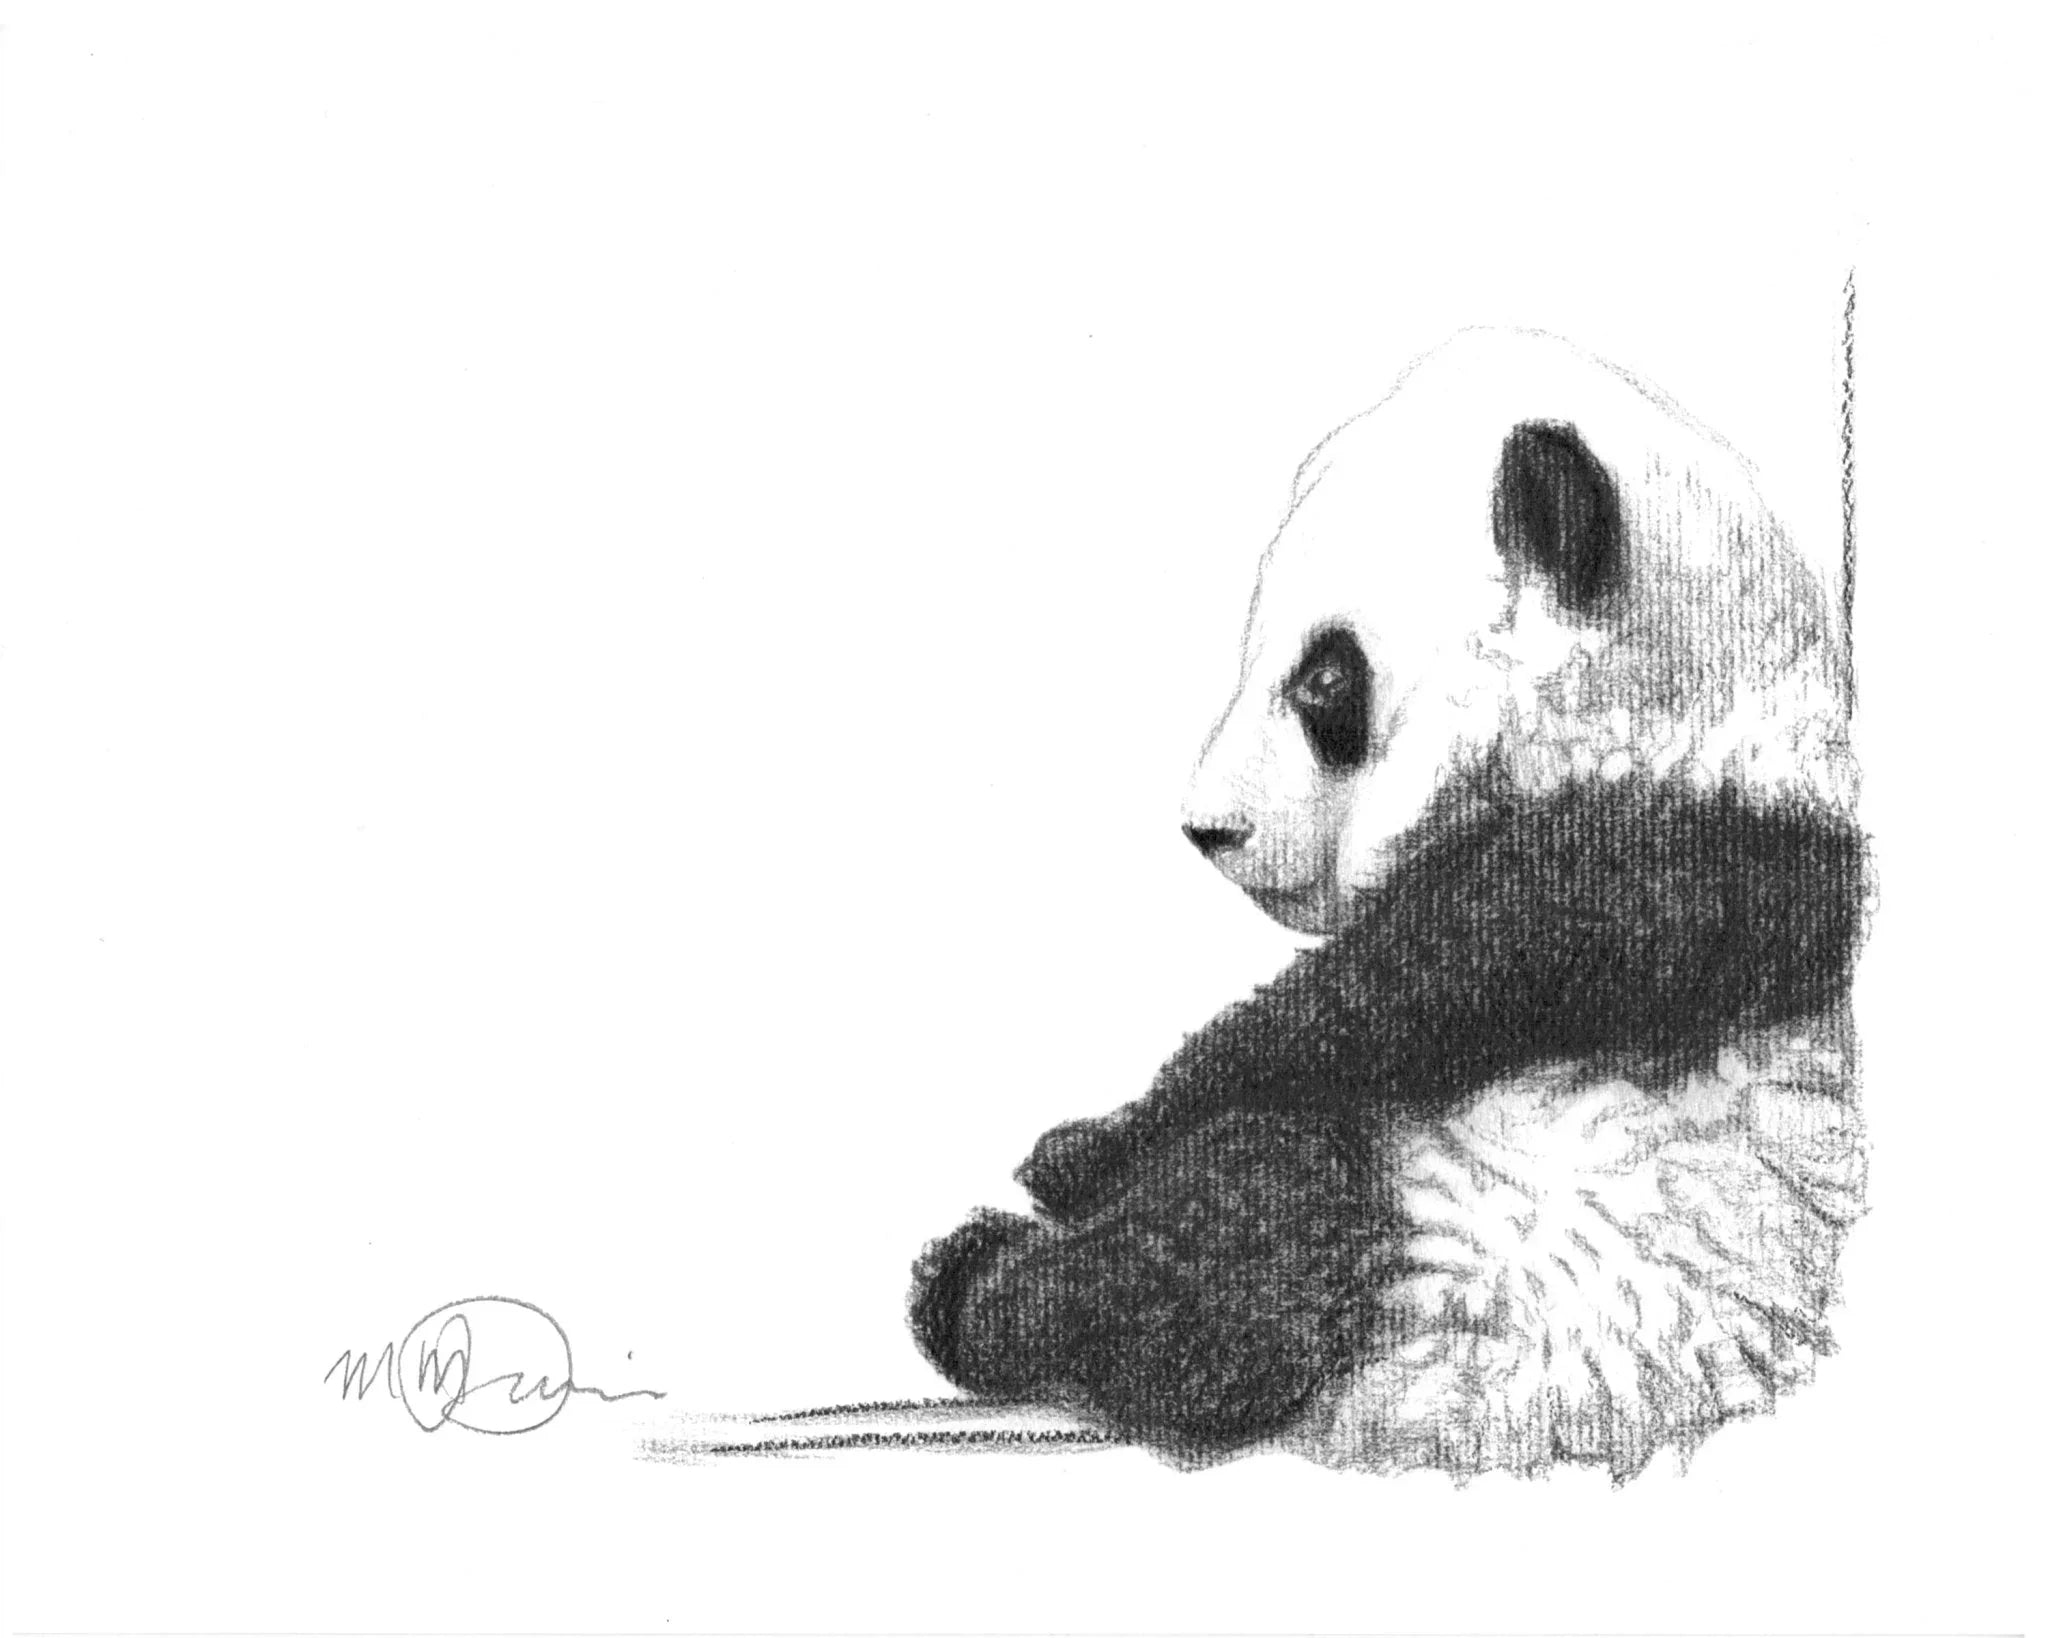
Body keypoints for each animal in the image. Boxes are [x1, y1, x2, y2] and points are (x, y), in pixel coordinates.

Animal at [906, 328, 1868, 1479]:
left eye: (1324, 678)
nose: (1206, 829)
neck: (1673, 713)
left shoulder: (1661, 859)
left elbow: (1371, 1006)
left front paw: (1088, 1150)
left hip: (1484, 1298)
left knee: (1265, 1218)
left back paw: (981, 1289)